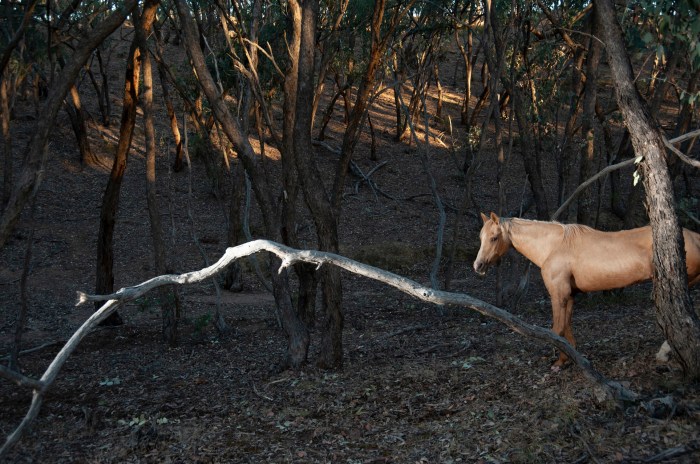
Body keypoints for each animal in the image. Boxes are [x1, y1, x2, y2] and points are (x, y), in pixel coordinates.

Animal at [473, 212, 700, 368]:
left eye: (494, 237)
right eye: (480, 238)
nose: (478, 265)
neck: (554, 247)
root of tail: (694, 237)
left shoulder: (558, 295)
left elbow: (557, 329)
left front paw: (559, 363)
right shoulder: (570, 295)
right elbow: (567, 327)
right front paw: (569, 357)